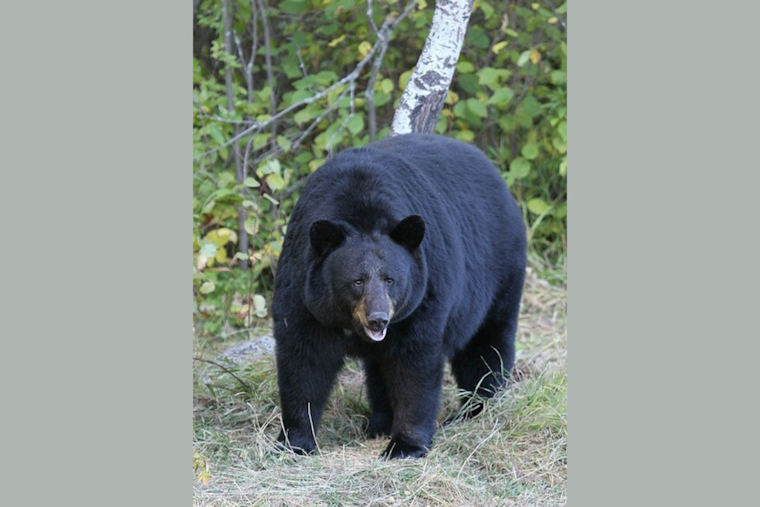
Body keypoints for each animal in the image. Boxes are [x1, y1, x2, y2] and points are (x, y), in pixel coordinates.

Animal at [271, 133, 527, 459]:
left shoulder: (424, 295)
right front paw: (295, 441)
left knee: (485, 345)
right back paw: (379, 423)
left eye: (391, 280)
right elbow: (303, 360)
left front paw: (405, 445)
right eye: (357, 281)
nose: (378, 319)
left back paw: (478, 408)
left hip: (498, 273)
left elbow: (414, 364)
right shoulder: (303, 291)